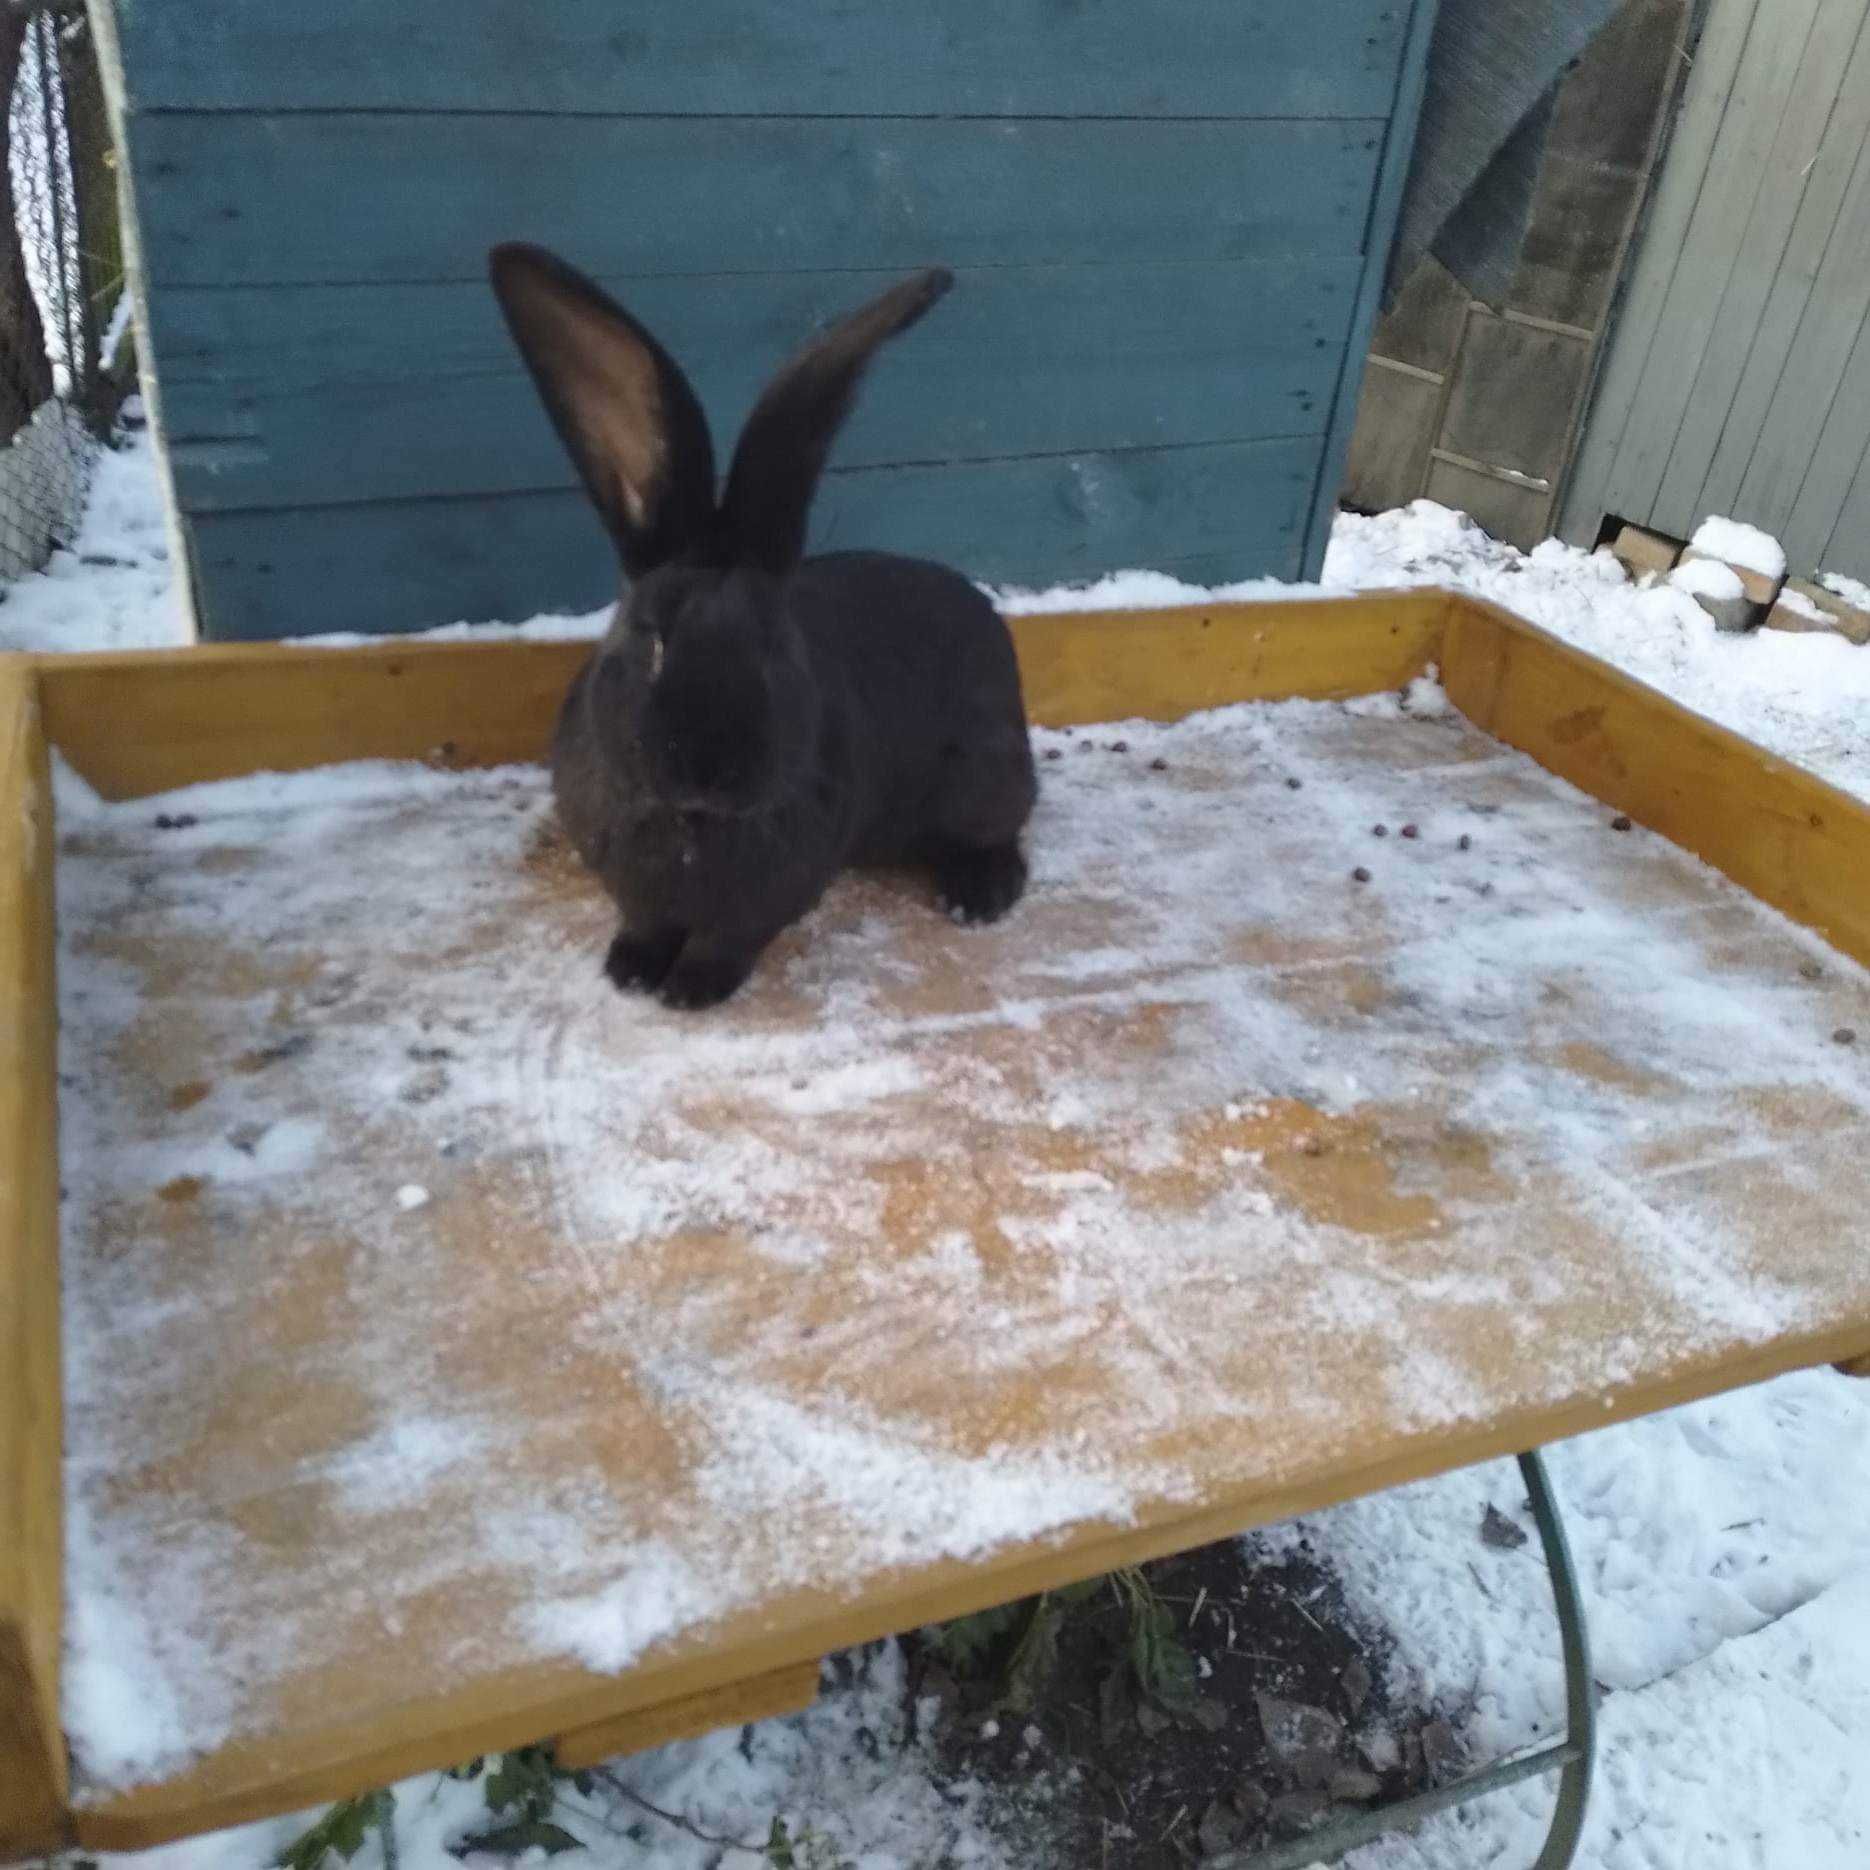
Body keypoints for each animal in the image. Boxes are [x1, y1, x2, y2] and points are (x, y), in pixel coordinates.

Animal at [489, 248, 1047, 1017]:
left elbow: (727, 940)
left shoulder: (768, 897)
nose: (707, 770)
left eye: (772, 649)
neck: (691, 828)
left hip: (986, 775)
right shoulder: (638, 893)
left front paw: (690, 990)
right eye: (651, 639)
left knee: (1002, 830)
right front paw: (628, 972)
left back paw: (979, 895)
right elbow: (647, 922)